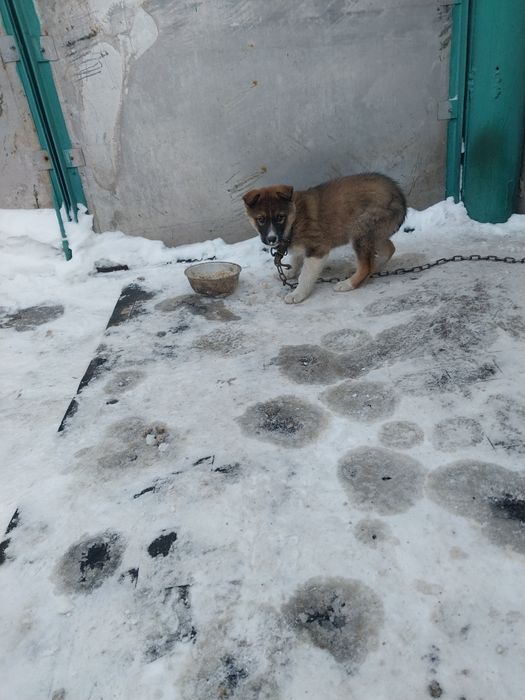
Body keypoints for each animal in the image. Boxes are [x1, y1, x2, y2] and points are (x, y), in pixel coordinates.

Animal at [243, 173, 406, 303]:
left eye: (280, 218)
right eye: (261, 219)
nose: (271, 239)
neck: (293, 220)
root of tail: (398, 194)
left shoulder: (317, 249)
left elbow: (305, 275)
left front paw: (298, 294)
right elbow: (296, 259)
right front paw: (289, 273)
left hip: (360, 229)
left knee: (366, 265)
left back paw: (348, 284)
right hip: (374, 232)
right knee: (388, 249)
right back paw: (374, 266)